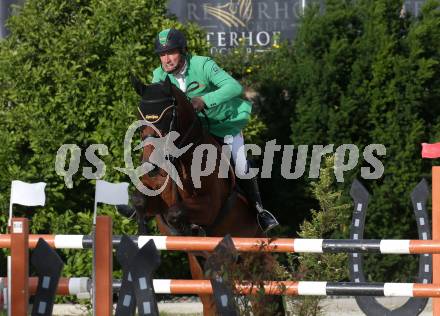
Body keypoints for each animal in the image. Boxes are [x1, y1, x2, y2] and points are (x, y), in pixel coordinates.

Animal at [127, 75, 286, 314]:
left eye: (168, 118)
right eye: (140, 117)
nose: (152, 166)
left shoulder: (208, 207)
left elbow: (176, 212)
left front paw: (190, 230)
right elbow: (140, 201)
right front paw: (144, 231)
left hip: (253, 257)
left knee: (262, 299)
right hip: (204, 274)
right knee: (210, 300)